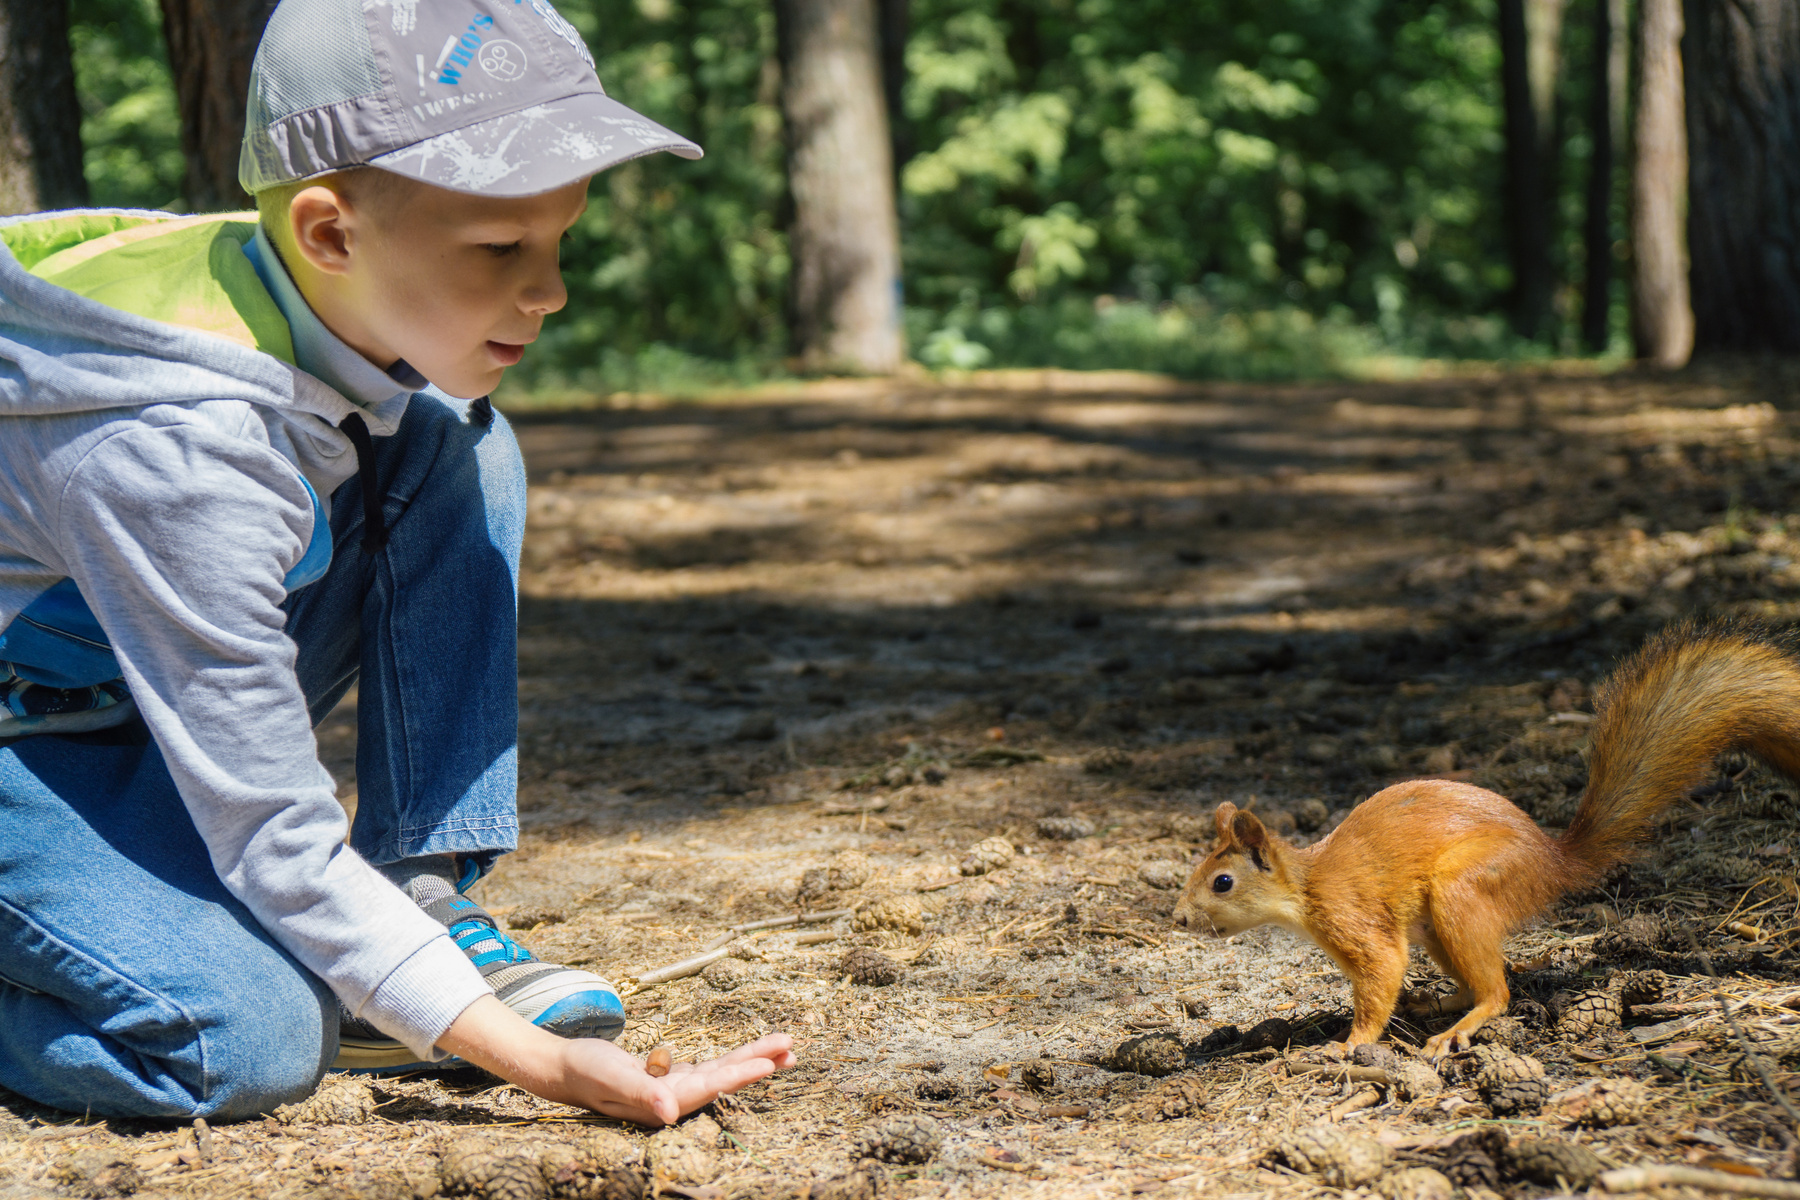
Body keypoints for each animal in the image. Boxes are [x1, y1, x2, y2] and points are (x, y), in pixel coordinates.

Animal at [1172, 617, 1800, 1057]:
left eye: (1222, 882)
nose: (1177, 918)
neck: (1303, 890)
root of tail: (1554, 862)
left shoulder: (1355, 921)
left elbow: (1381, 976)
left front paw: (1349, 1046)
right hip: (1439, 929)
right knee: (1481, 984)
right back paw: (1437, 1000)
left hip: (1465, 890)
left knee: (1498, 994)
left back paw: (1455, 1030)